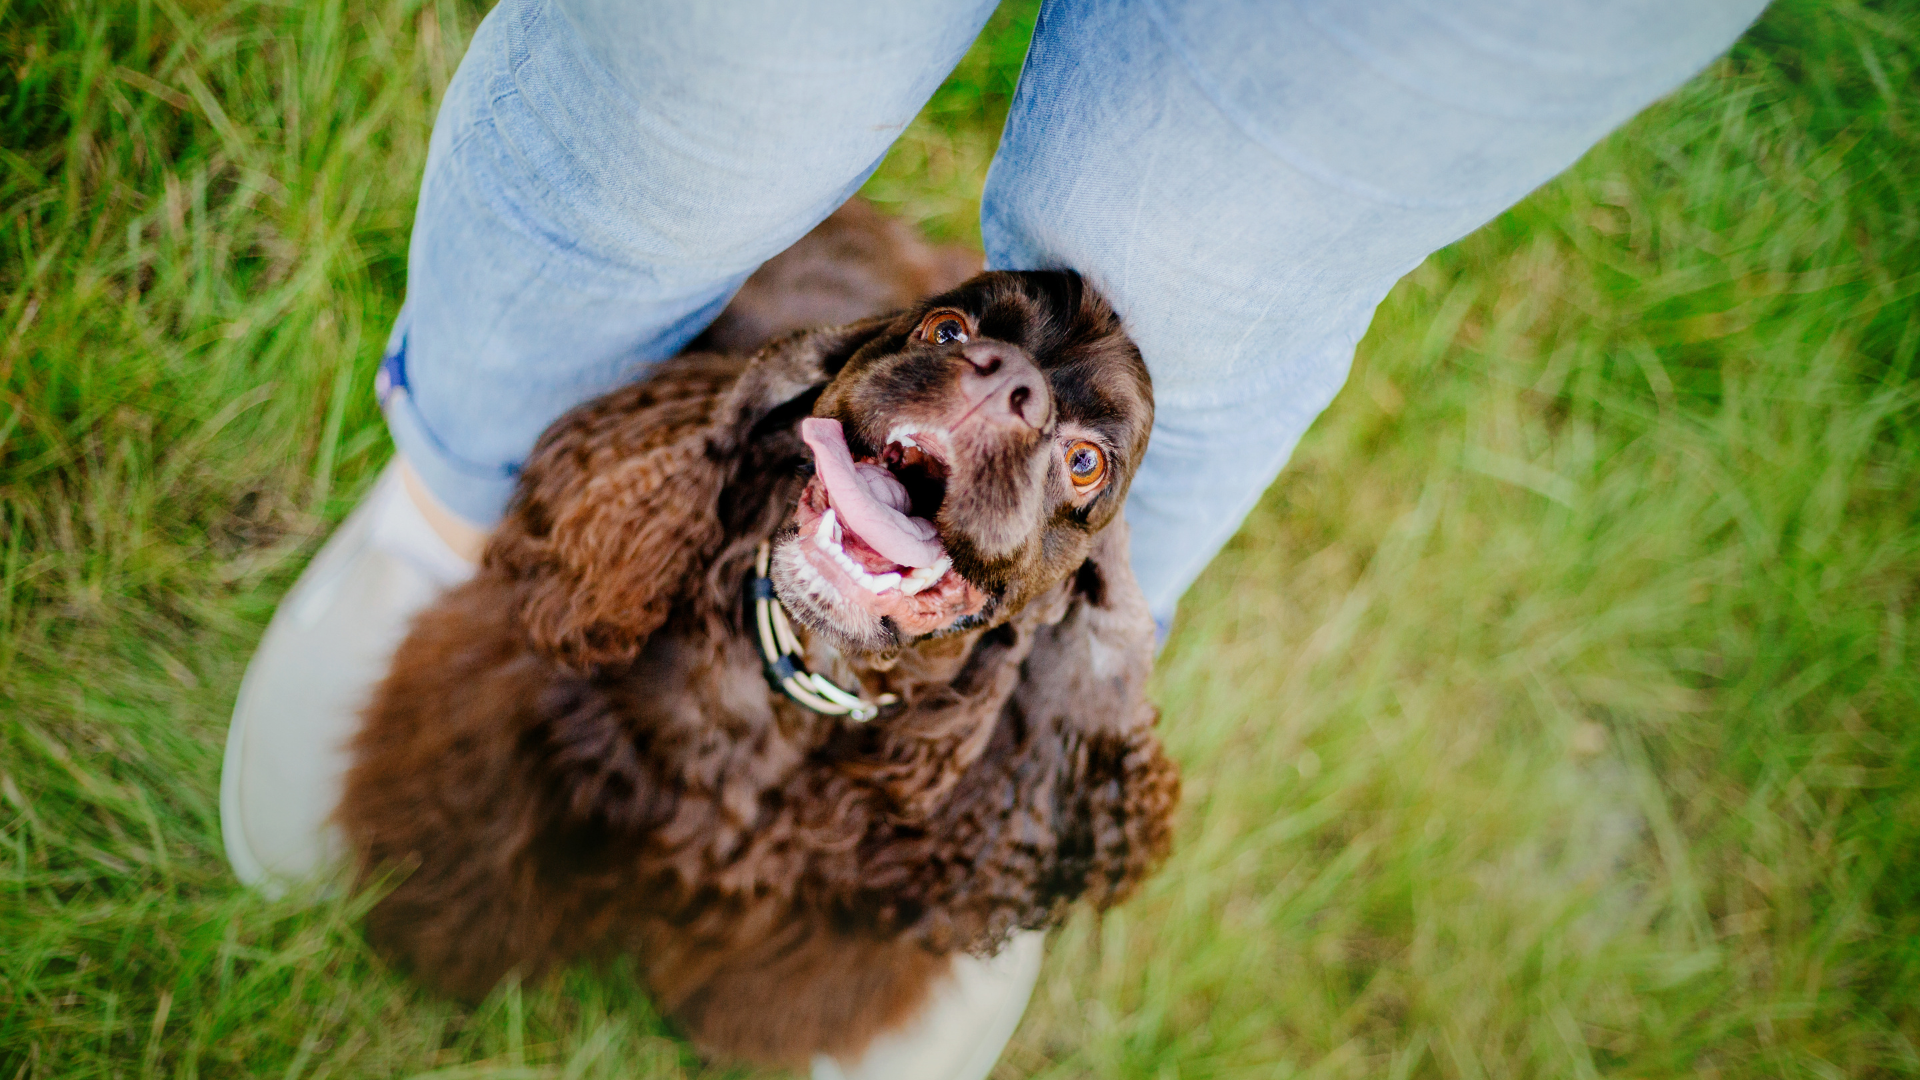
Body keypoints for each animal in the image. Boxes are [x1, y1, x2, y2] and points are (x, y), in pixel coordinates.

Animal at [343, 203, 1175, 1068]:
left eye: (1085, 463)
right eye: (947, 329)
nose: (1003, 380)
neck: (805, 678)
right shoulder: (519, 730)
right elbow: (471, 863)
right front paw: (424, 945)